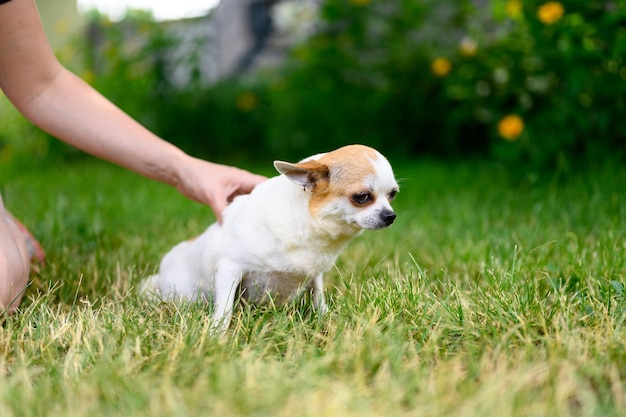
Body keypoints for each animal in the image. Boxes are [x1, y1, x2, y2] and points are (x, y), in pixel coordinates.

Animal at [139, 145, 398, 334]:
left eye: (392, 195)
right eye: (362, 197)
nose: (390, 216)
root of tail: (161, 275)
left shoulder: (314, 276)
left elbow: (318, 298)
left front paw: (325, 319)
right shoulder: (230, 270)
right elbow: (224, 309)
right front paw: (216, 335)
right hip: (185, 294)